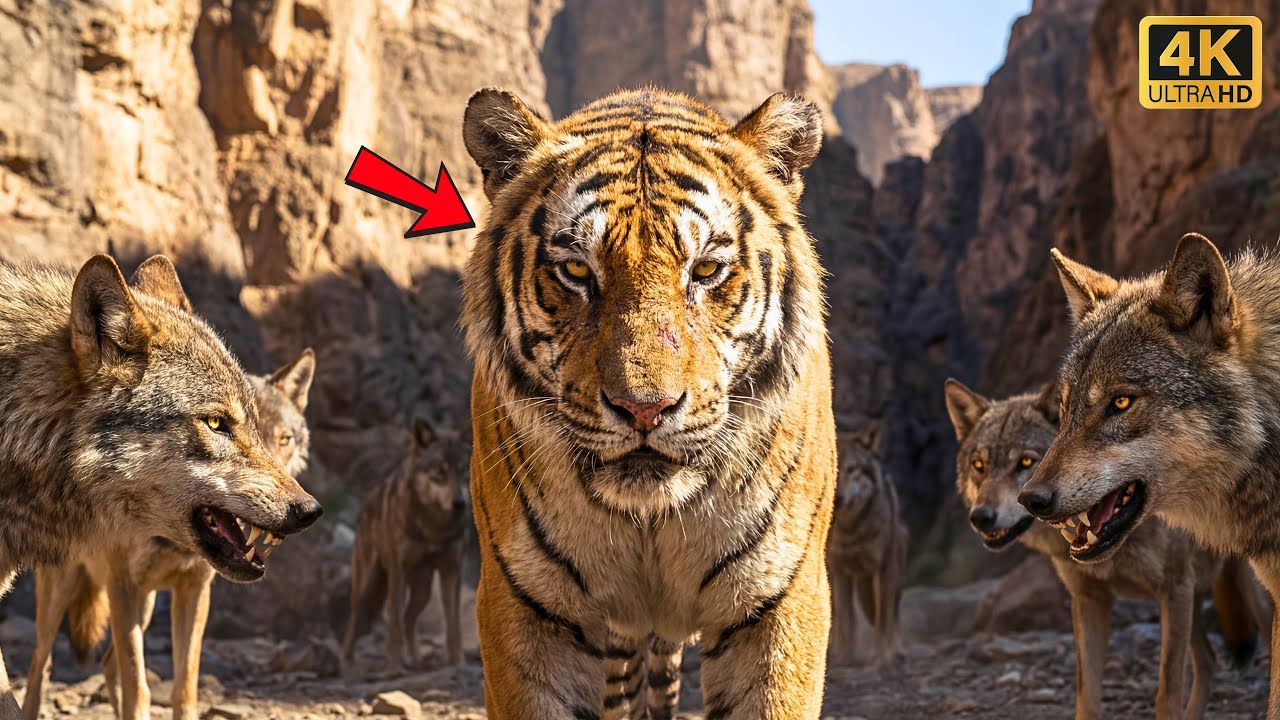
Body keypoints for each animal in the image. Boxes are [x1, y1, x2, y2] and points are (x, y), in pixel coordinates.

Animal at [0, 254, 322, 718]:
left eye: (281, 438)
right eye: (215, 423)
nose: (310, 510)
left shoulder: (194, 589)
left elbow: (183, 688)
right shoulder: (124, 588)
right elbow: (139, 688)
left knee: (107, 664)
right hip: (63, 597)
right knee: (40, 666)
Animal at [341, 418, 469, 673]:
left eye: (463, 470)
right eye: (440, 472)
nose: (459, 503)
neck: (434, 528)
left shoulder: (451, 571)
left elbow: (454, 624)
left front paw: (458, 661)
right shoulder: (397, 572)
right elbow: (394, 626)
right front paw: (393, 667)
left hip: (423, 589)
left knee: (410, 619)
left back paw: (418, 661)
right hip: (368, 584)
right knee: (355, 617)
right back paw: (346, 662)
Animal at [459, 85, 837, 719]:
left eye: (705, 269)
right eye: (577, 269)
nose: (644, 409)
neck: (650, 522)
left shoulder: (781, 597)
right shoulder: (526, 606)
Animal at [826, 423, 907, 666]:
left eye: (852, 469)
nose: (838, 499)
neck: (849, 530)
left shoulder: (885, 567)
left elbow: (883, 618)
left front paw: (881, 656)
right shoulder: (840, 571)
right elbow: (846, 617)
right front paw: (845, 655)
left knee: (892, 615)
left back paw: (897, 650)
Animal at [947, 377, 1269, 719]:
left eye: (1025, 462)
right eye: (979, 466)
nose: (981, 517)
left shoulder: (1174, 589)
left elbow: (1167, 694)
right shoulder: (1090, 599)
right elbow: (1087, 694)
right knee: (1208, 660)